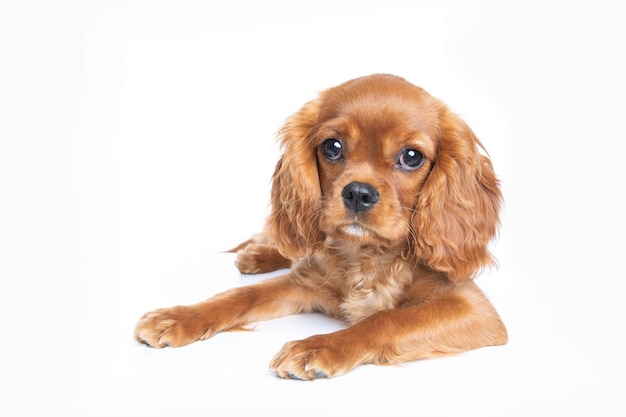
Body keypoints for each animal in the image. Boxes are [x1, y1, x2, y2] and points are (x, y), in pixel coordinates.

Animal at [134, 73, 504, 378]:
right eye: (333, 147)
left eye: (411, 156)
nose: (358, 193)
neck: (365, 255)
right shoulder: (302, 283)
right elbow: (241, 295)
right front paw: (179, 317)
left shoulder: (474, 310)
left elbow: (388, 318)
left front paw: (319, 346)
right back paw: (256, 256)